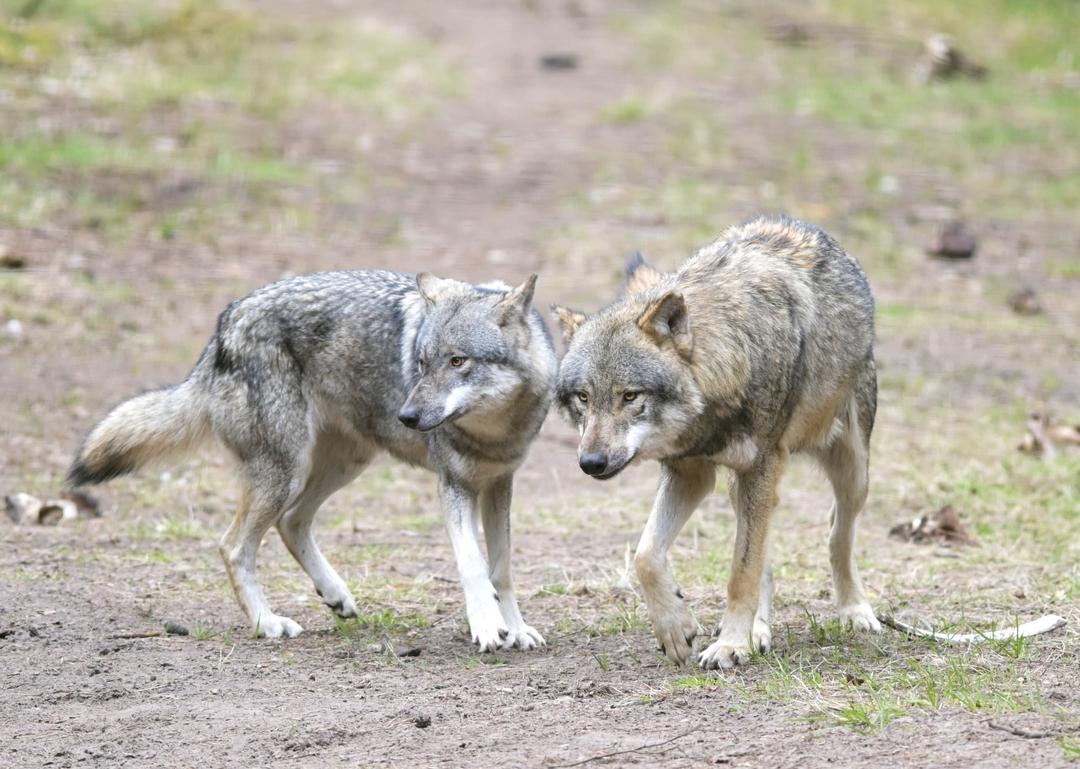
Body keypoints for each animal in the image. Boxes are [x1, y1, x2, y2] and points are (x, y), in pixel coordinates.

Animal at [68, 270, 556, 651]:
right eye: (420, 363)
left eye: (457, 361)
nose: (408, 416)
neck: (494, 431)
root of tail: (225, 324)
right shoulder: (453, 486)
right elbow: (473, 565)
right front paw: (488, 627)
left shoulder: (499, 485)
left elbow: (501, 570)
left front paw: (516, 628)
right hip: (286, 473)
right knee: (233, 545)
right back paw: (267, 623)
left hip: (344, 464)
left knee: (291, 522)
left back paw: (334, 594)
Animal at [553, 215, 881, 669]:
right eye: (583, 398)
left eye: (630, 396)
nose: (592, 463)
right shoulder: (690, 473)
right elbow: (646, 556)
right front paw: (677, 628)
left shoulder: (760, 466)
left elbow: (741, 572)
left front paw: (729, 645)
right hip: (740, 486)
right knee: (767, 557)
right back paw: (759, 630)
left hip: (851, 472)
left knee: (837, 533)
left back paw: (854, 610)